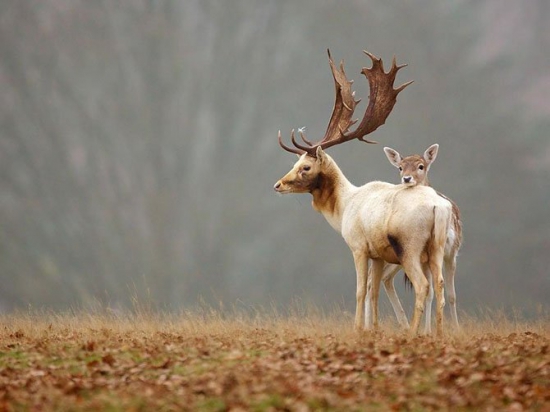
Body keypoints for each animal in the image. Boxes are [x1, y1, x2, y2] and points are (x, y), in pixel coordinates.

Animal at [272, 50, 452, 336]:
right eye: (295, 162)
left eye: (305, 167)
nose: (278, 184)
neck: (344, 207)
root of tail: (439, 207)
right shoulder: (377, 254)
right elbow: (373, 291)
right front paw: (373, 329)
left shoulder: (358, 246)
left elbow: (359, 290)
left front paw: (357, 328)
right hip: (437, 247)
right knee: (441, 286)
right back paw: (438, 333)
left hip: (410, 246)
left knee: (423, 286)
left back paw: (412, 332)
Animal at [366, 144, 466, 332]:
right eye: (400, 167)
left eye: (421, 166)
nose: (406, 178)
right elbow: (432, 292)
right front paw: (427, 331)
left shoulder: (452, 252)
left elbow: (451, 295)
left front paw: (455, 330)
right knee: (375, 278)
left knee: (382, 278)